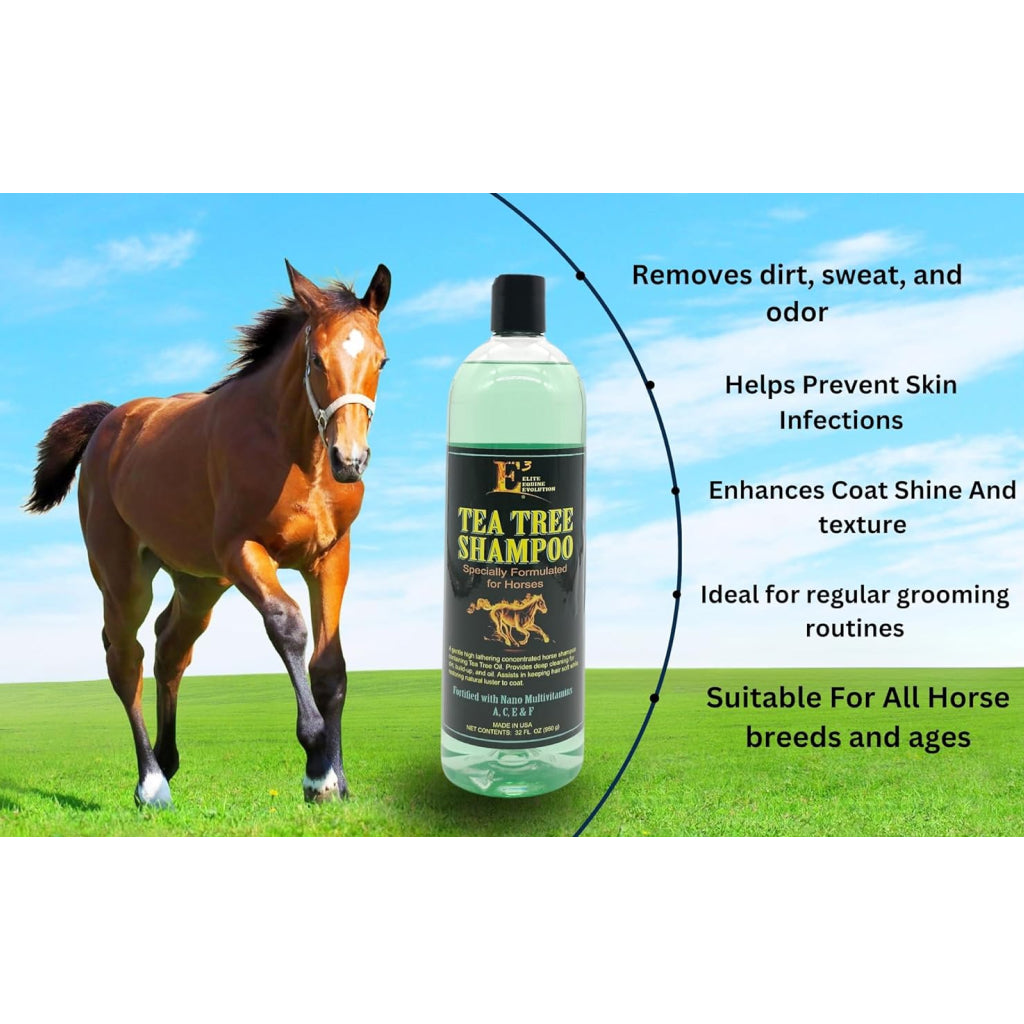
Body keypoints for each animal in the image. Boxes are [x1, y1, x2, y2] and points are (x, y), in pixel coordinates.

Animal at [25, 260, 391, 808]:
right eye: (316, 359)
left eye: (381, 361)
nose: (350, 460)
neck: (292, 453)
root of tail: (109, 421)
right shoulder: (243, 553)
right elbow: (288, 625)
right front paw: (315, 765)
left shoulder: (329, 558)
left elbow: (330, 667)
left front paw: (337, 781)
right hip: (123, 578)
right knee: (126, 657)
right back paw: (151, 782)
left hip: (198, 584)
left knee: (170, 647)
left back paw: (167, 760)